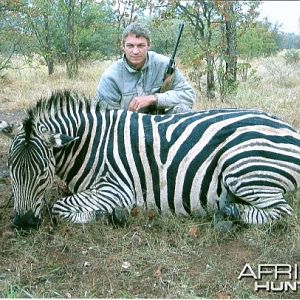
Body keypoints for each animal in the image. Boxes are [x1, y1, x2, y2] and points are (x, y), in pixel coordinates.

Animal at [1, 89, 300, 230]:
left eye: (43, 173)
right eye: (11, 170)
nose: (23, 225)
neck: (90, 144)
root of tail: (288, 127)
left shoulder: (116, 189)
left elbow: (59, 207)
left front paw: (106, 214)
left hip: (242, 169)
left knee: (281, 212)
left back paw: (230, 212)